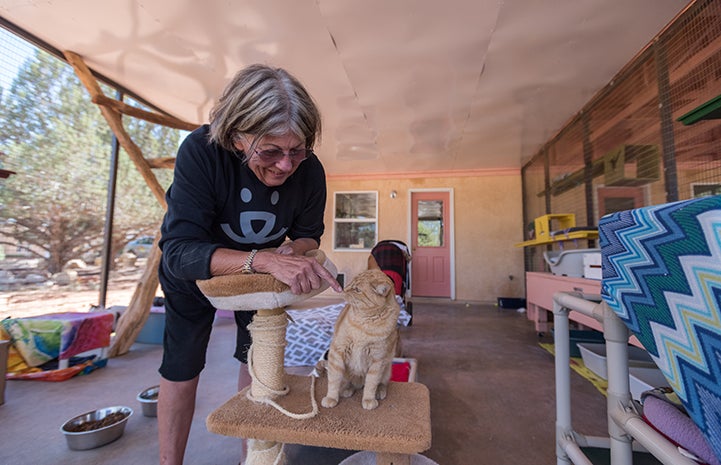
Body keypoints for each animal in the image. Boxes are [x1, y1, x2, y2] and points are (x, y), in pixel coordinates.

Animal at [320, 268, 400, 410]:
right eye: (350, 284)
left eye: (357, 289)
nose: (344, 289)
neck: (364, 323)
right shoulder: (337, 352)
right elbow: (334, 380)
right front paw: (331, 398)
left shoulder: (377, 360)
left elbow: (371, 383)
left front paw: (368, 399)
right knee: (348, 382)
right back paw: (347, 389)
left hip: (386, 368)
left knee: (381, 383)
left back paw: (379, 391)